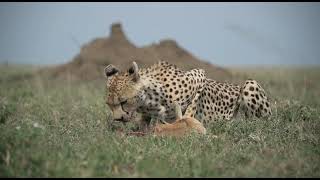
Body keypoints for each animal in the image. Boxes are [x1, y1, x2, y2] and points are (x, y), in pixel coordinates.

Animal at [104, 60, 272, 131]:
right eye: (109, 105)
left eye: (124, 101)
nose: (118, 118)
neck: (149, 99)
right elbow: (144, 123)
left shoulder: (199, 75)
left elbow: (191, 106)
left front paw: (189, 122)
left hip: (249, 84)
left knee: (259, 121)